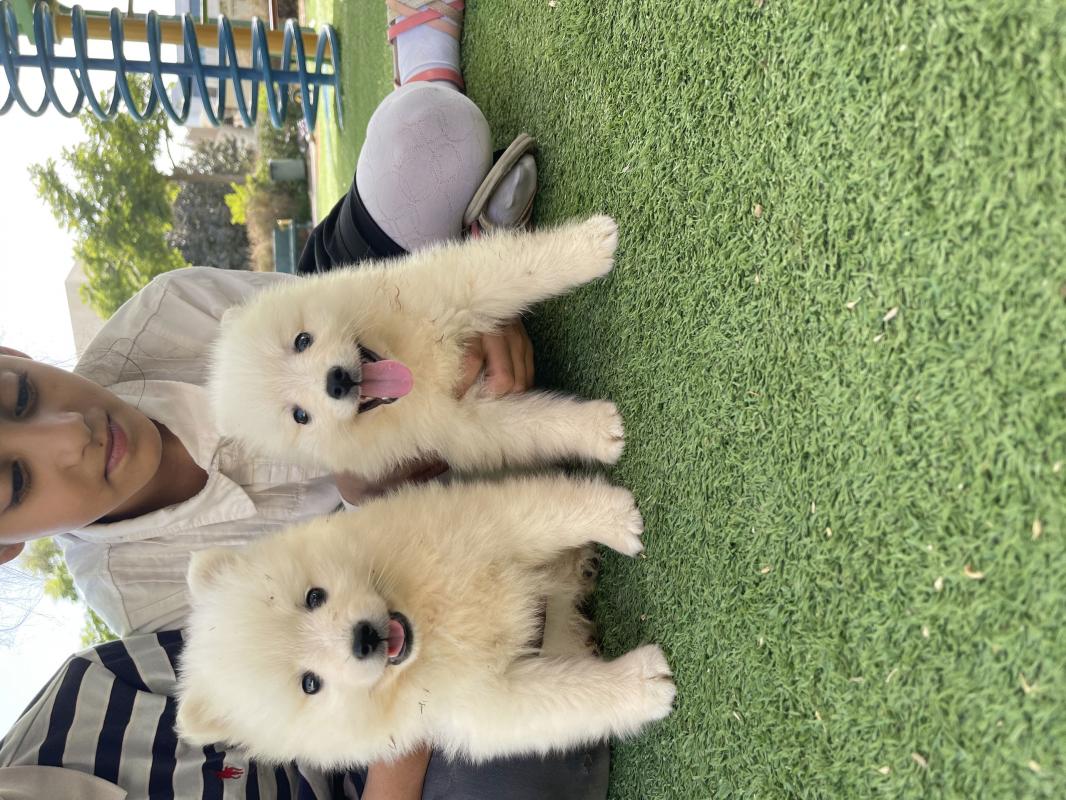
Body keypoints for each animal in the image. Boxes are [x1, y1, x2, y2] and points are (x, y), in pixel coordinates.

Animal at [175, 475, 675, 768]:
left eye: (313, 597)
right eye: (310, 684)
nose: (365, 638)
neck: (429, 621)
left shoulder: (475, 526)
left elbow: (539, 514)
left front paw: (613, 519)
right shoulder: (483, 700)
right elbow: (566, 698)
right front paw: (644, 683)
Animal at [209, 216, 625, 482]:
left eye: (302, 340)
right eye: (300, 416)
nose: (337, 381)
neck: (416, 361)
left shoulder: (450, 287)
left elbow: (517, 270)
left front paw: (590, 248)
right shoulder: (460, 425)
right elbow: (533, 425)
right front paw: (601, 432)